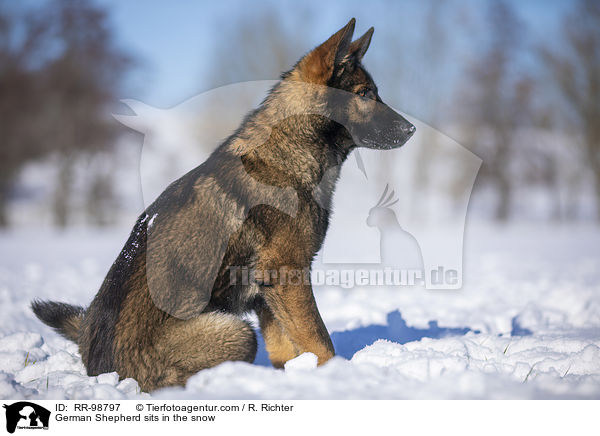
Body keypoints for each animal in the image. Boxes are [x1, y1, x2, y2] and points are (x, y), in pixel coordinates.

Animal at [30, 18, 414, 392]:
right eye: (364, 95)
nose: (411, 129)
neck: (287, 150)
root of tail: (97, 366)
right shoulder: (287, 275)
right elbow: (320, 342)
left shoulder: (267, 295)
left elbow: (286, 351)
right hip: (235, 331)